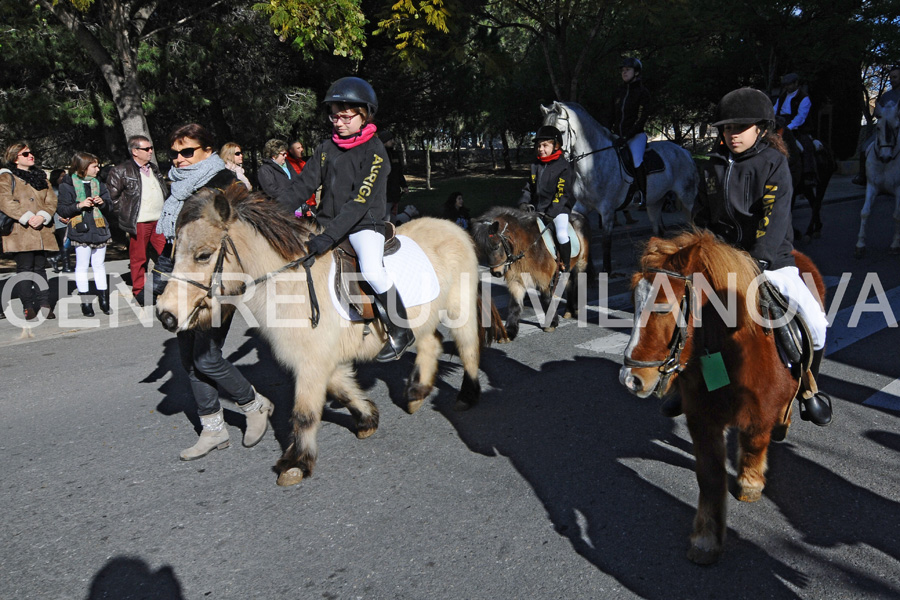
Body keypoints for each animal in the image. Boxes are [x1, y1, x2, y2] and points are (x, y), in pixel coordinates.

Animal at [156, 186, 506, 488]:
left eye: (203, 255)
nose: (165, 314)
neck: (291, 283)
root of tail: (454, 228)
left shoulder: (311, 362)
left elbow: (305, 413)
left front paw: (296, 463)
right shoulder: (320, 358)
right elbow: (342, 390)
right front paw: (367, 419)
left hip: (459, 308)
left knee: (468, 348)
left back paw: (467, 395)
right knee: (430, 344)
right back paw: (416, 393)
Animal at [472, 206, 592, 340]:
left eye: (496, 246)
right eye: (484, 249)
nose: (496, 273)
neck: (526, 248)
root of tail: (580, 215)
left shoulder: (544, 280)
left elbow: (546, 299)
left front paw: (551, 323)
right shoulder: (516, 280)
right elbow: (514, 305)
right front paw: (510, 331)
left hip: (581, 263)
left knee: (578, 282)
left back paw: (576, 309)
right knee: (569, 283)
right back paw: (569, 310)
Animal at [536, 101, 700, 274]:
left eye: (560, 131)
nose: (548, 157)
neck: (593, 162)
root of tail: (684, 151)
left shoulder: (607, 212)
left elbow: (606, 244)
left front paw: (606, 272)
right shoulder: (581, 207)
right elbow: (582, 234)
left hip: (687, 198)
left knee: (692, 225)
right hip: (655, 202)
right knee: (659, 231)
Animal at [620, 229, 824, 564]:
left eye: (663, 306)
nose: (631, 379)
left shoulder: (760, 411)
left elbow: (754, 443)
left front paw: (750, 482)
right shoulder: (702, 419)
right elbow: (710, 476)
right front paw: (706, 538)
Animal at [856, 101, 896, 255]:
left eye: (897, 127)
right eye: (878, 127)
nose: (885, 157)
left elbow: (897, 215)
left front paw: (895, 244)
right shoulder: (872, 185)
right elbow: (865, 212)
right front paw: (860, 244)